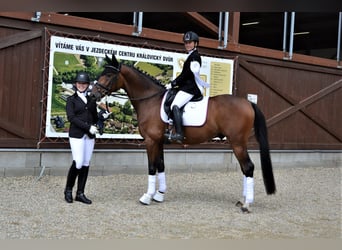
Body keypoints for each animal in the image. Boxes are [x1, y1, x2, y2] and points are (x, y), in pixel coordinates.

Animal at [90, 54, 276, 213]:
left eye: (108, 75)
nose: (93, 94)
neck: (150, 100)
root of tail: (248, 103)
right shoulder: (159, 141)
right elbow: (161, 165)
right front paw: (159, 195)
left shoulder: (150, 141)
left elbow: (151, 167)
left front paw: (147, 196)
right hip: (238, 143)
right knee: (245, 169)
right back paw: (243, 200)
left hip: (237, 143)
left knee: (248, 167)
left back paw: (246, 205)